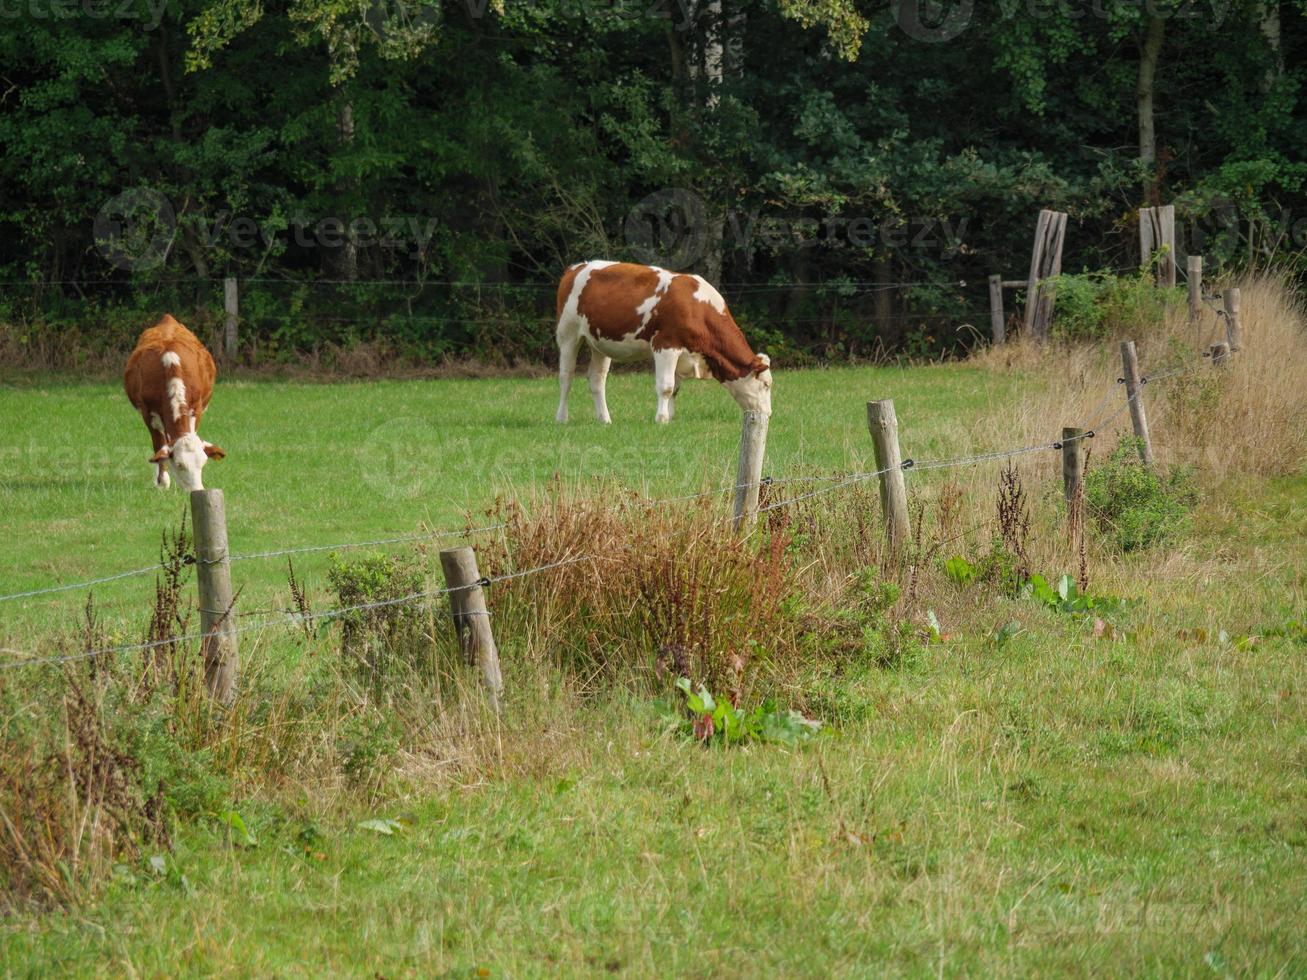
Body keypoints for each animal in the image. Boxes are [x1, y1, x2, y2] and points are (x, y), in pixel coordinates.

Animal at [123, 314, 226, 491]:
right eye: (179, 465)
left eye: (203, 463)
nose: (197, 490)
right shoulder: (148, 413)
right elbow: (158, 446)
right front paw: (162, 482)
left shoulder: (197, 408)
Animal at [554, 261, 773, 425]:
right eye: (765, 384)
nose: (769, 414)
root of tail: (576, 268)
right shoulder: (666, 345)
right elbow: (666, 386)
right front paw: (661, 419)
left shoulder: (683, 355)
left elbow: (674, 389)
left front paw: (670, 417)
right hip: (568, 335)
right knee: (566, 377)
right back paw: (562, 418)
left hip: (600, 344)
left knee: (597, 379)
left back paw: (605, 419)